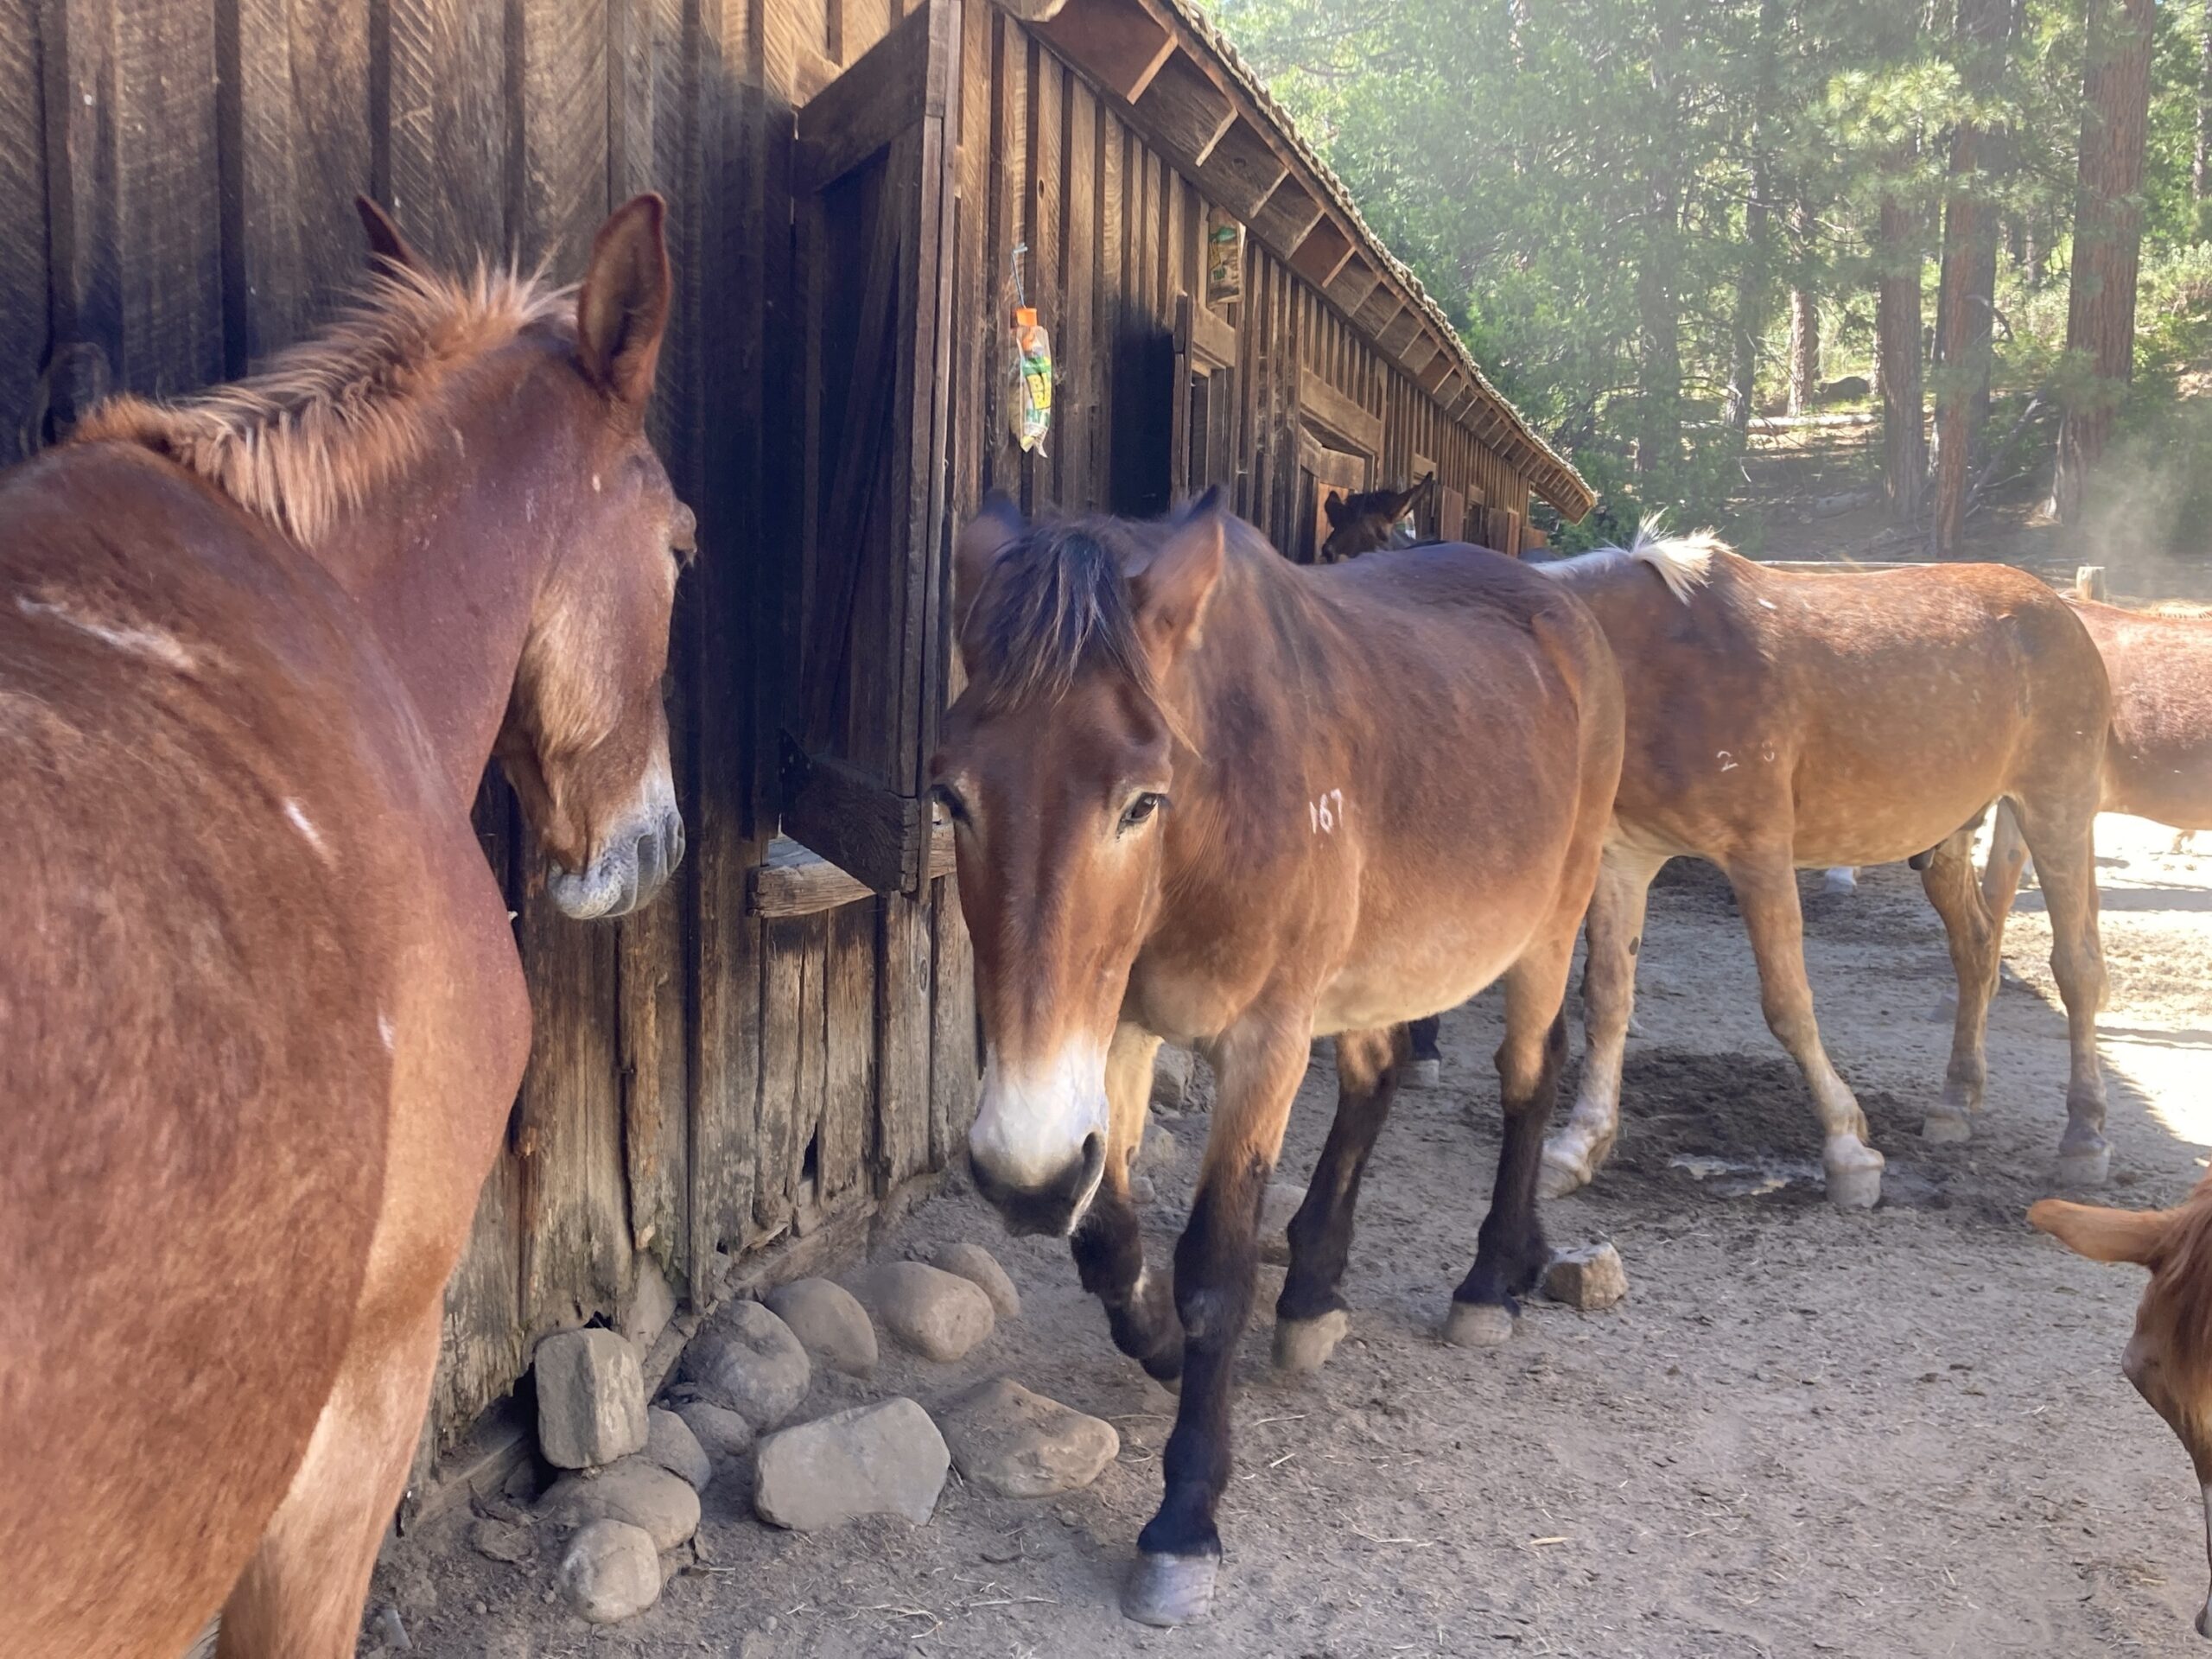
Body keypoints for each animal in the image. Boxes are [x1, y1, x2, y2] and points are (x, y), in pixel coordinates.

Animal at [930, 490, 1625, 1625]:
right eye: (953, 798)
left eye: (1140, 801)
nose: (1021, 1177)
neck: (1215, 815)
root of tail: (1556, 603)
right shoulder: (1117, 1029)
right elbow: (1108, 1240)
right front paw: (1164, 1346)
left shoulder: (1263, 1041)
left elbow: (1214, 1266)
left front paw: (1184, 1519)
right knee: (1374, 1080)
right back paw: (1315, 1293)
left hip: (1549, 922)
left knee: (1531, 1073)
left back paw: (1491, 1278)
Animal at [1532, 529, 2111, 1209]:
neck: (1646, 665)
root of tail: (2059, 610)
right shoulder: (1623, 861)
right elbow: (1605, 1001)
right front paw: (1577, 1145)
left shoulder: (1758, 854)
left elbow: (1787, 1004)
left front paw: (1847, 1148)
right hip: (1951, 838)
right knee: (1976, 950)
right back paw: (1954, 1104)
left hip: (2057, 812)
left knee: (2077, 967)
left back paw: (2085, 1137)